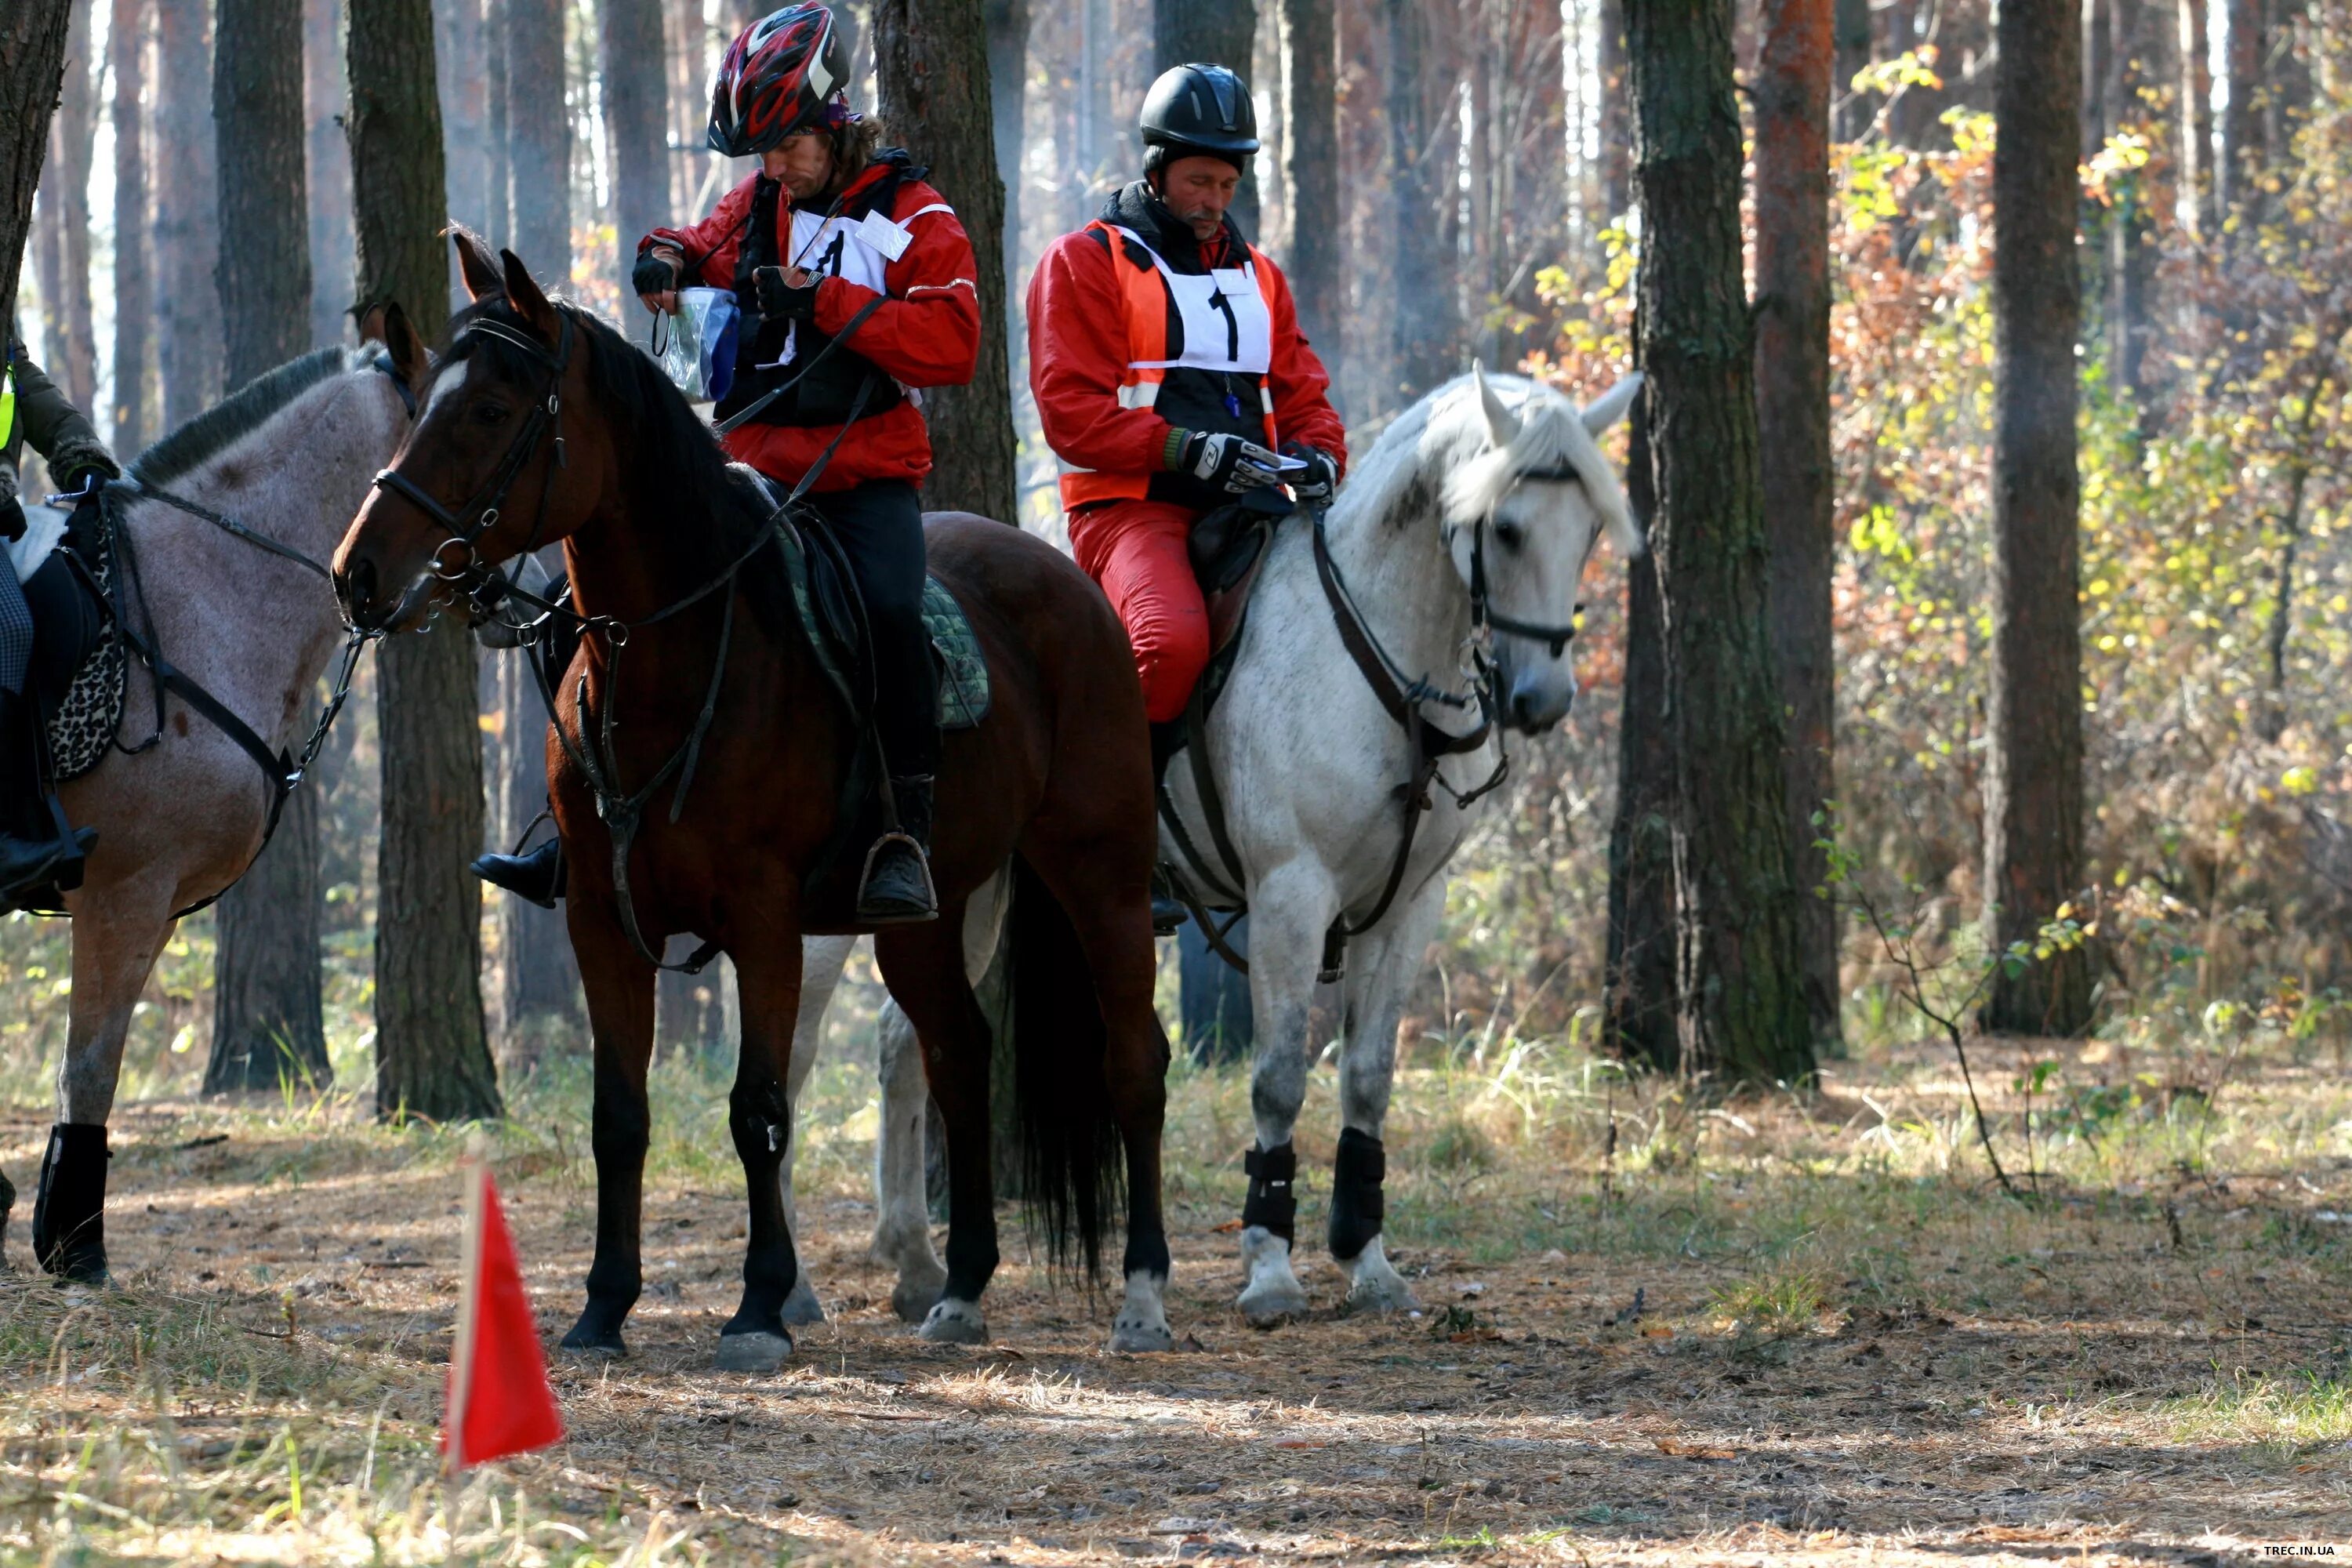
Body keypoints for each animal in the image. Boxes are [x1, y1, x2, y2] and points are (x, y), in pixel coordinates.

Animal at [332, 239, 1176, 1363]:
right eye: (419, 399)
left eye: (491, 411)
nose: (359, 573)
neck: (678, 661)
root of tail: (1068, 578)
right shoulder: (604, 922)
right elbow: (620, 1116)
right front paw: (603, 1306)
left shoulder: (767, 922)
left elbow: (759, 1108)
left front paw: (761, 1306)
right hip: (927, 915)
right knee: (958, 1054)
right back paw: (959, 1288)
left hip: (1102, 873)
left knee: (1135, 1061)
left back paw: (1144, 1293)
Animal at [1157, 364, 1637, 1326]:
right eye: (1506, 525)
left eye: (1592, 528)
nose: (1543, 700)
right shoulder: (1289, 897)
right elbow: (1278, 1077)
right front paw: (1270, 1268)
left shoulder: (1409, 906)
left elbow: (1369, 1076)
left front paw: (1365, 1258)